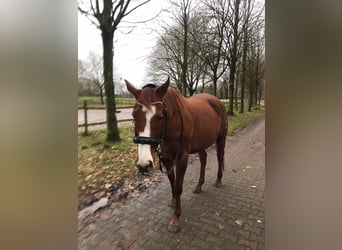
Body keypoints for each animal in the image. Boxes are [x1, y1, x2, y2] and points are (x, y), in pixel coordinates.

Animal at [125, 77, 227, 231]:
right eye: (134, 115)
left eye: (160, 116)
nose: (143, 164)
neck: (173, 122)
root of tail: (218, 101)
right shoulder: (167, 158)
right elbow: (172, 181)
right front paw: (173, 201)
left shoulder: (182, 157)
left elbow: (178, 186)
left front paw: (176, 218)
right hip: (201, 143)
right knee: (203, 159)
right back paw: (199, 185)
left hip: (221, 139)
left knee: (220, 157)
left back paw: (219, 180)